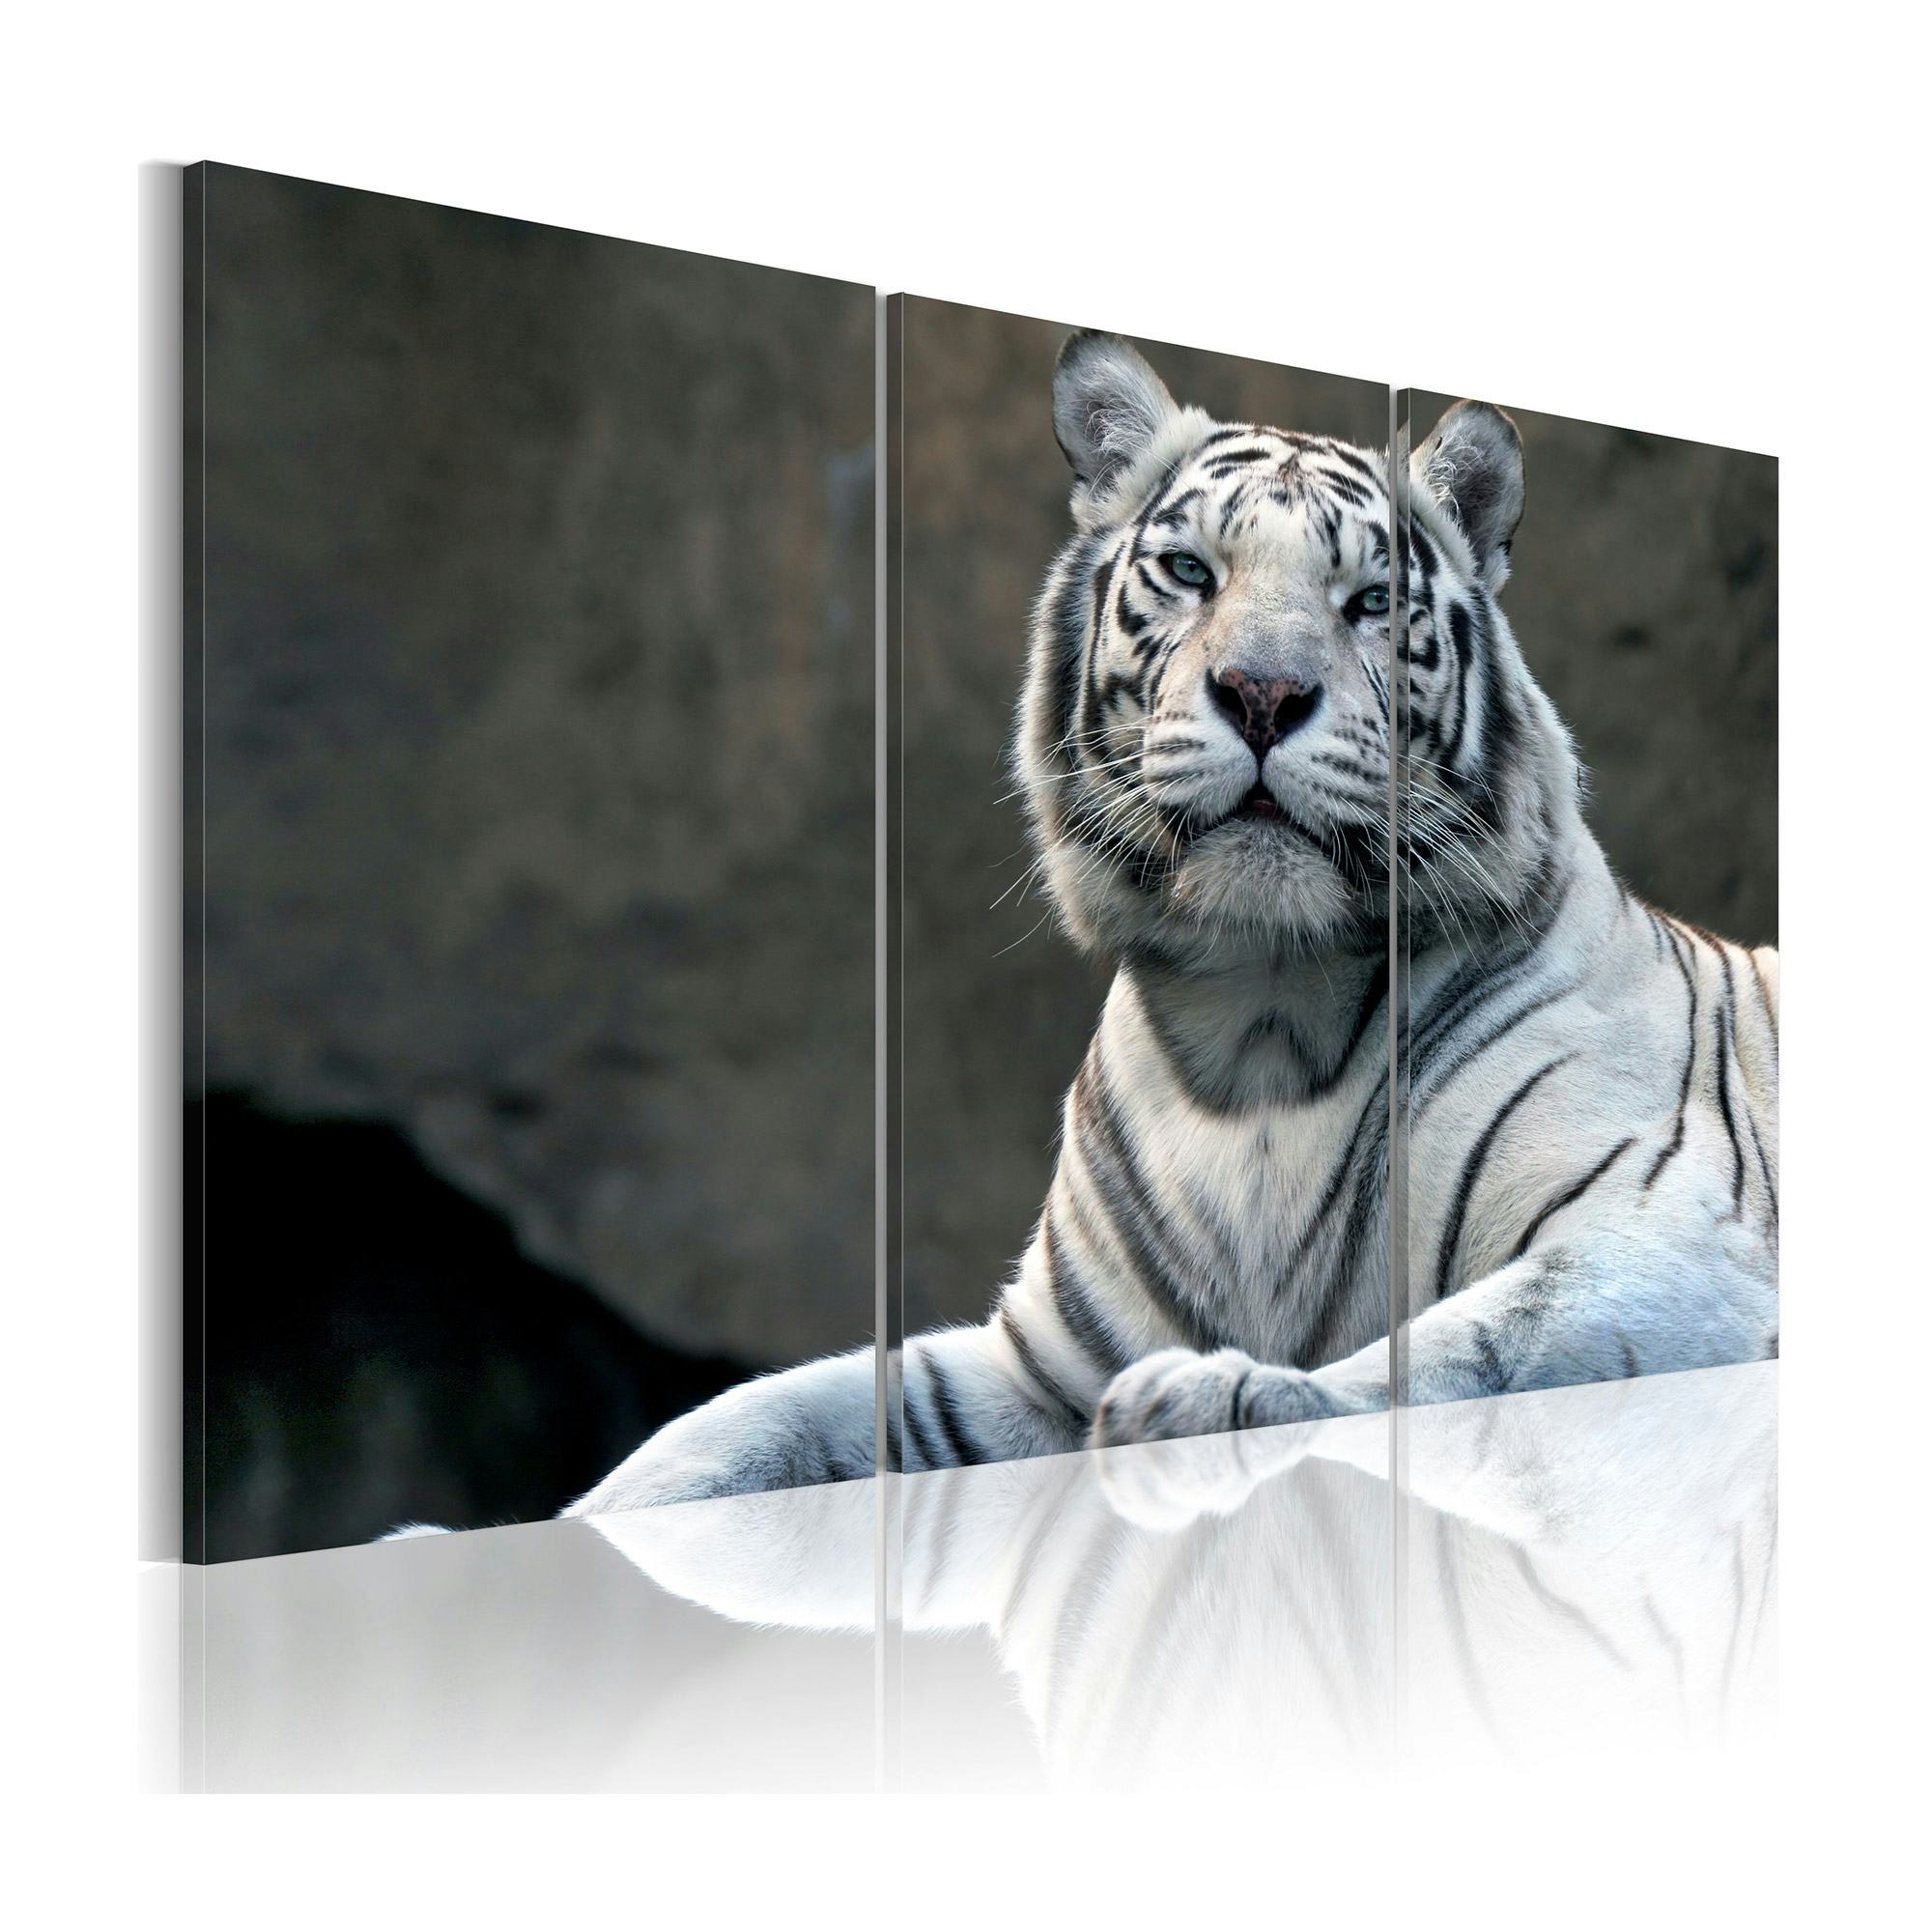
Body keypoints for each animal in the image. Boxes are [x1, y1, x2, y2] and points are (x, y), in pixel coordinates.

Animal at [566, 330, 1779, 1518]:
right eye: (1192, 570)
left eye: (1370, 598)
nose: (1263, 693)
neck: (1259, 1024)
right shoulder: (1036, 1369)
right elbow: (752, 1419)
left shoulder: (1665, 1242)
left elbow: (1448, 1356)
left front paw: (1207, 1398)